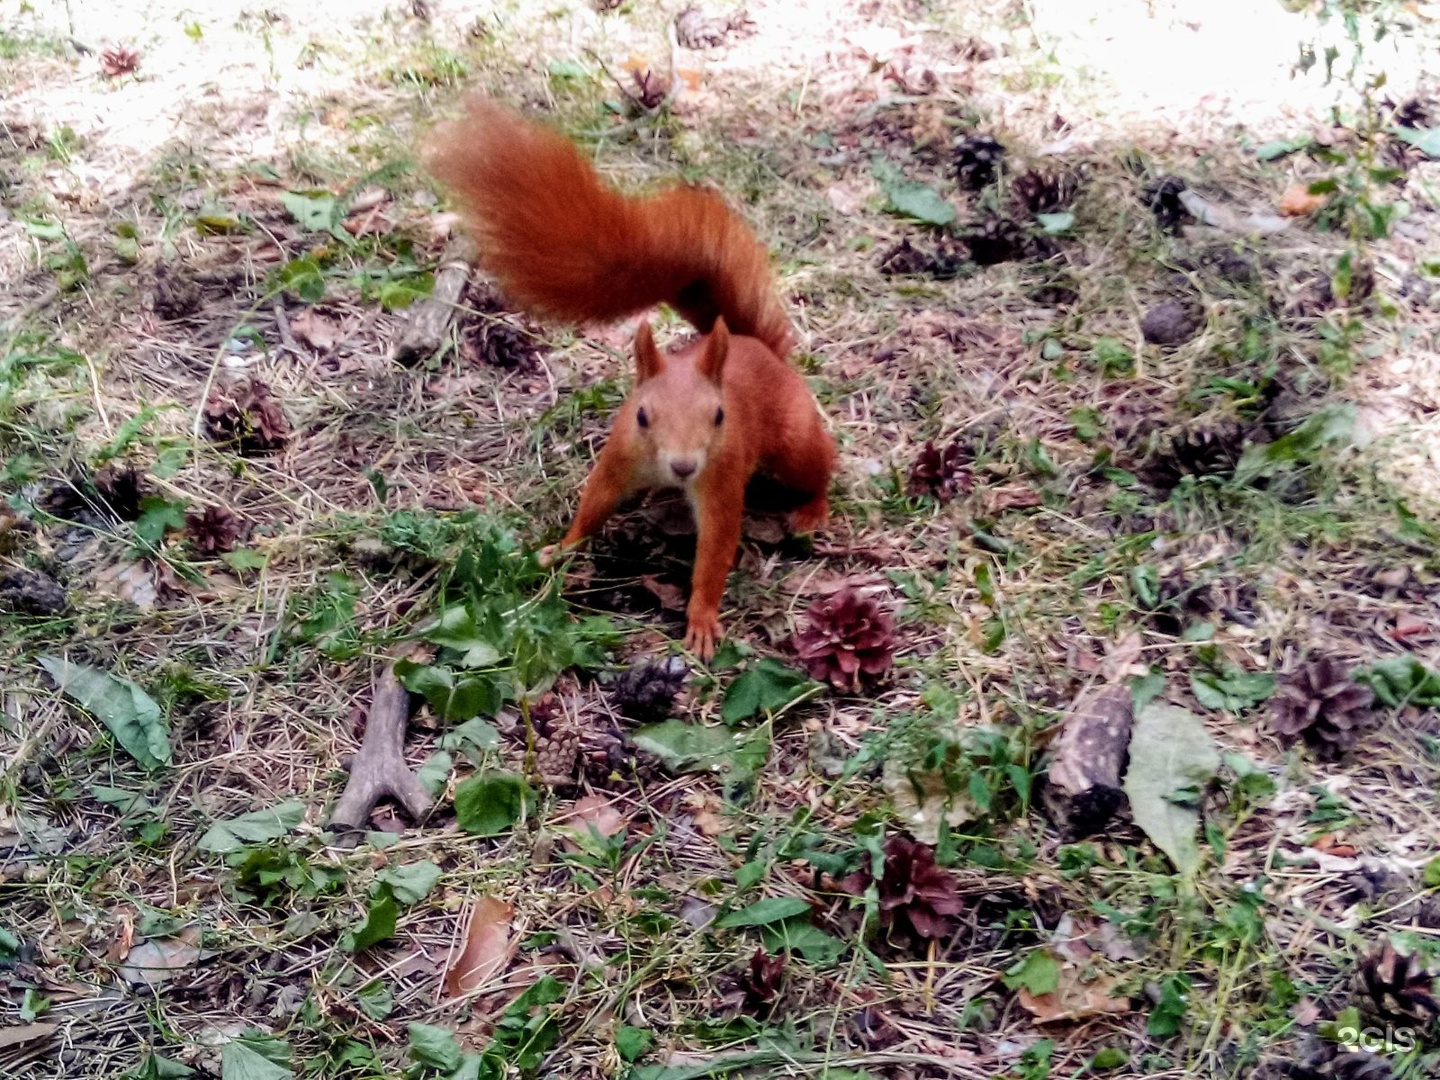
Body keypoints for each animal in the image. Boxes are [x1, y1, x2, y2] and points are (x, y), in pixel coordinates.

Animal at [423, 101, 835, 659]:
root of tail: (754, 345)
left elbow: (716, 550)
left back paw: (812, 509)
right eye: (641, 415)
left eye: (719, 416)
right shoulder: (620, 458)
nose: (683, 466)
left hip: (791, 439)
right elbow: (593, 504)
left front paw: (701, 618)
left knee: (820, 465)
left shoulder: (722, 478)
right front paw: (559, 550)